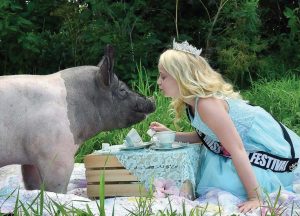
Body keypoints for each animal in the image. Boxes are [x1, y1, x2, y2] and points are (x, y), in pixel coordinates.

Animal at [0, 44, 155, 193]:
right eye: (122, 90)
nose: (152, 101)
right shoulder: (57, 157)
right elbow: (56, 189)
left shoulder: (31, 160)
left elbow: (34, 185)